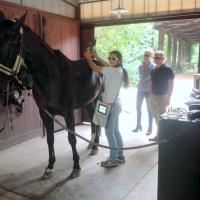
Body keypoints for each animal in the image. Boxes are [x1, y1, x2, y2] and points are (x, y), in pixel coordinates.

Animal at [0, 11, 103, 179]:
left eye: (14, 41)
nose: (1, 81)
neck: (52, 77)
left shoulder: (68, 113)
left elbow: (71, 138)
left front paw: (76, 167)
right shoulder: (45, 113)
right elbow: (50, 139)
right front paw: (49, 167)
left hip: (99, 100)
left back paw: (96, 147)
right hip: (89, 102)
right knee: (94, 122)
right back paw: (92, 145)